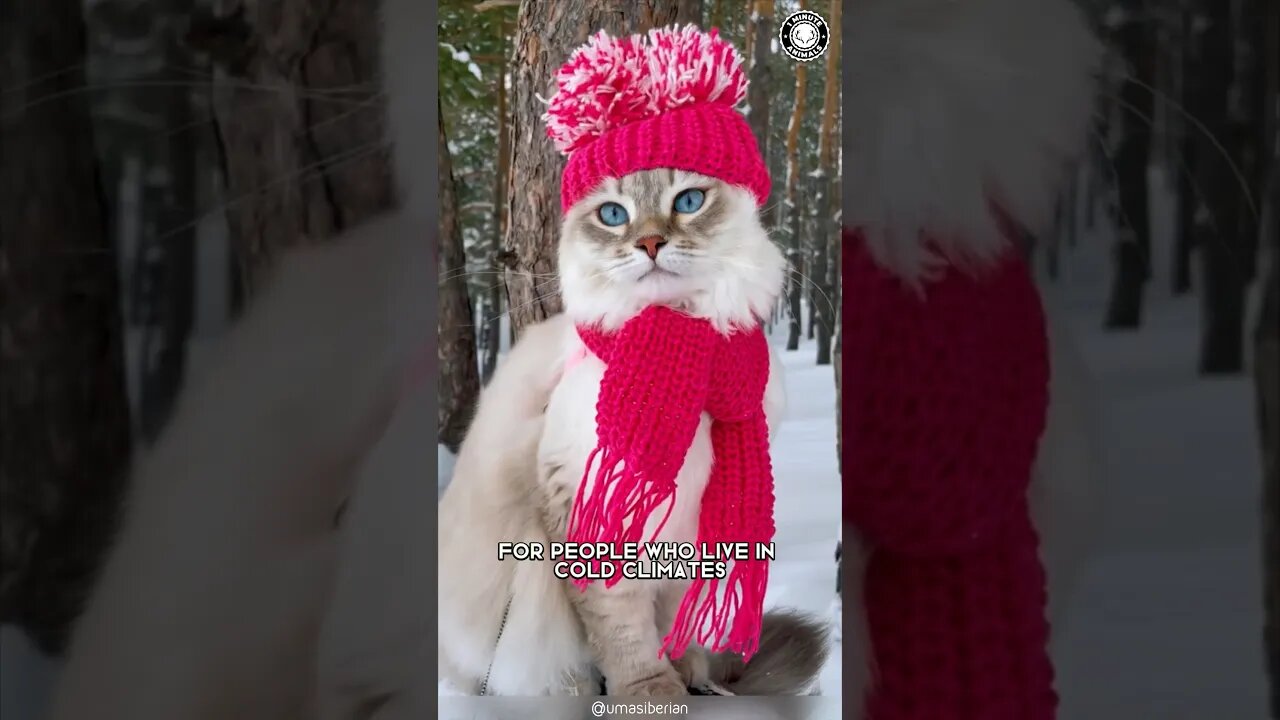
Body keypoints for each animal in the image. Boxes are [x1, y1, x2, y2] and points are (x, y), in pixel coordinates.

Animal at [440, 167, 834, 696]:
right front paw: (650, 692)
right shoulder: (589, 509)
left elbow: (667, 620)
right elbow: (624, 634)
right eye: (613, 214)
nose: (649, 242)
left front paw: (685, 674)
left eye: (688, 202)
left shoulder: (690, 525)